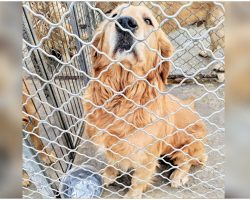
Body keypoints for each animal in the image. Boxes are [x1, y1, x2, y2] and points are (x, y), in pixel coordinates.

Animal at [82, 3, 207, 198]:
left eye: (148, 20)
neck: (122, 95)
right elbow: (111, 162)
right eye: (114, 15)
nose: (125, 22)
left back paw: (179, 176)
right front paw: (107, 176)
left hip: (188, 143)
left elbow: (137, 181)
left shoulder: (145, 158)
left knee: (188, 160)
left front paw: (132, 195)